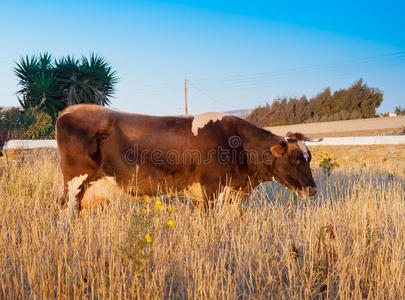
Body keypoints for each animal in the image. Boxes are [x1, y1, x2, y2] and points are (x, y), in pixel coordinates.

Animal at [56, 104, 322, 210]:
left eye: (309, 158)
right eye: (296, 159)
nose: (312, 189)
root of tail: (73, 109)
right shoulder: (213, 190)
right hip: (75, 183)